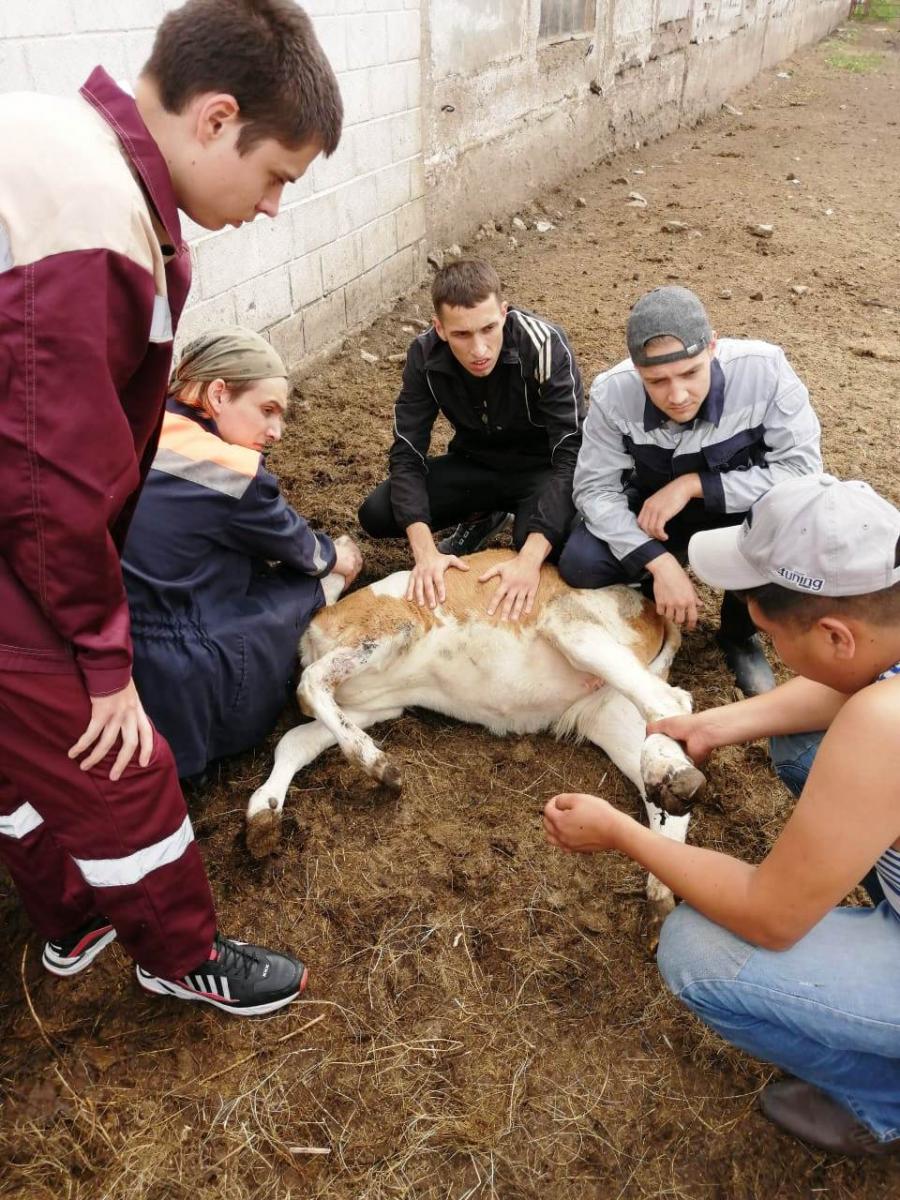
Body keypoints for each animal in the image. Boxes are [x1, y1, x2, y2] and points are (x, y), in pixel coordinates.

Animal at [250, 549, 710, 931]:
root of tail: (653, 609)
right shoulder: (372, 707)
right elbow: (295, 739)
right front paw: (262, 813)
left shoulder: (394, 629)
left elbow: (308, 685)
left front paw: (381, 768)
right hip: (605, 710)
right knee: (661, 751)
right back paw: (660, 889)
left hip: (574, 629)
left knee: (670, 701)